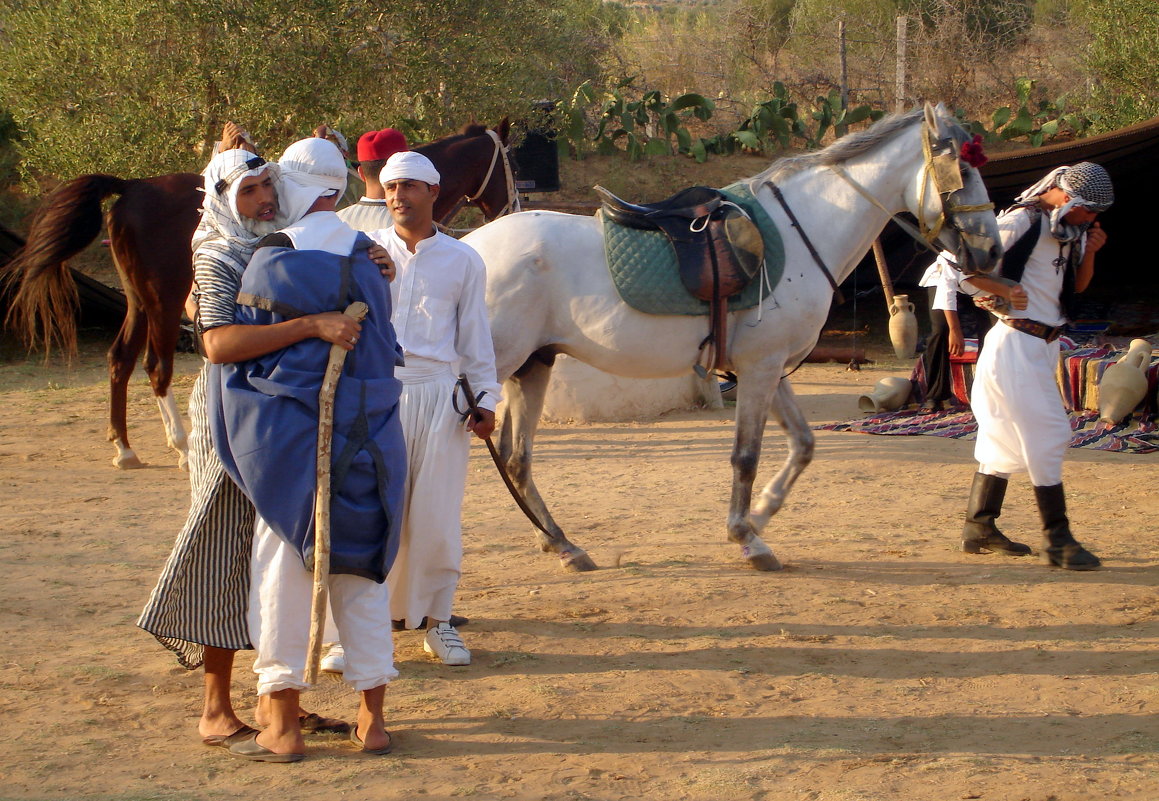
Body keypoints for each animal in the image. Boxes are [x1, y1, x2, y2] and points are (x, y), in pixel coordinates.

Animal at [0, 119, 516, 470]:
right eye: (511, 163)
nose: (512, 204)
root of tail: (130, 188)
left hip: (136, 299)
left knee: (119, 358)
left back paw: (125, 447)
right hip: (163, 300)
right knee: (155, 365)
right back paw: (182, 446)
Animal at [465, 103, 1001, 572]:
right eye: (963, 169)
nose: (992, 251)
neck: (803, 227)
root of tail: (468, 246)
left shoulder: (771, 368)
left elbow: (803, 444)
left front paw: (761, 515)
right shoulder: (759, 368)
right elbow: (746, 455)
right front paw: (747, 537)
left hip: (531, 367)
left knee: (516, 459)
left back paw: (562, 545)